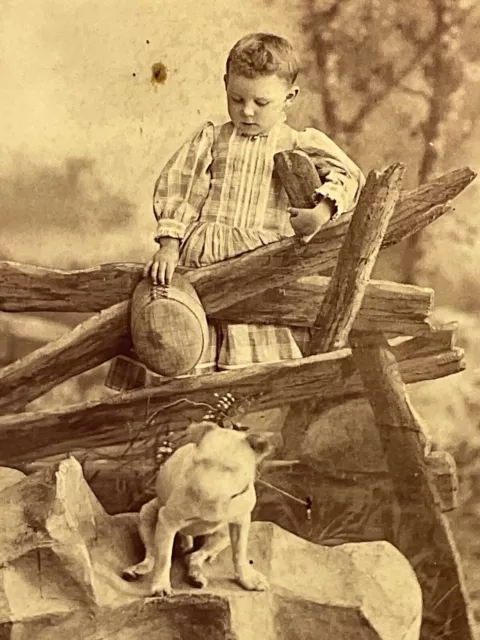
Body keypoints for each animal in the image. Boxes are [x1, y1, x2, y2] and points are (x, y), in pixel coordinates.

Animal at [123, 420, 274, 596]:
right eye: (200, 461)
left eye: (230, 469)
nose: (202, 491)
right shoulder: (167, 521)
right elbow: (164, 559)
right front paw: (161, 586)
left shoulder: (241, 523)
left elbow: (240, 553)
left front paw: (247, 579)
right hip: (147, 515)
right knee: (152, 554)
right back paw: (137, 569)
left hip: (223, 535)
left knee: (195, 556)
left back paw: (196, 575)